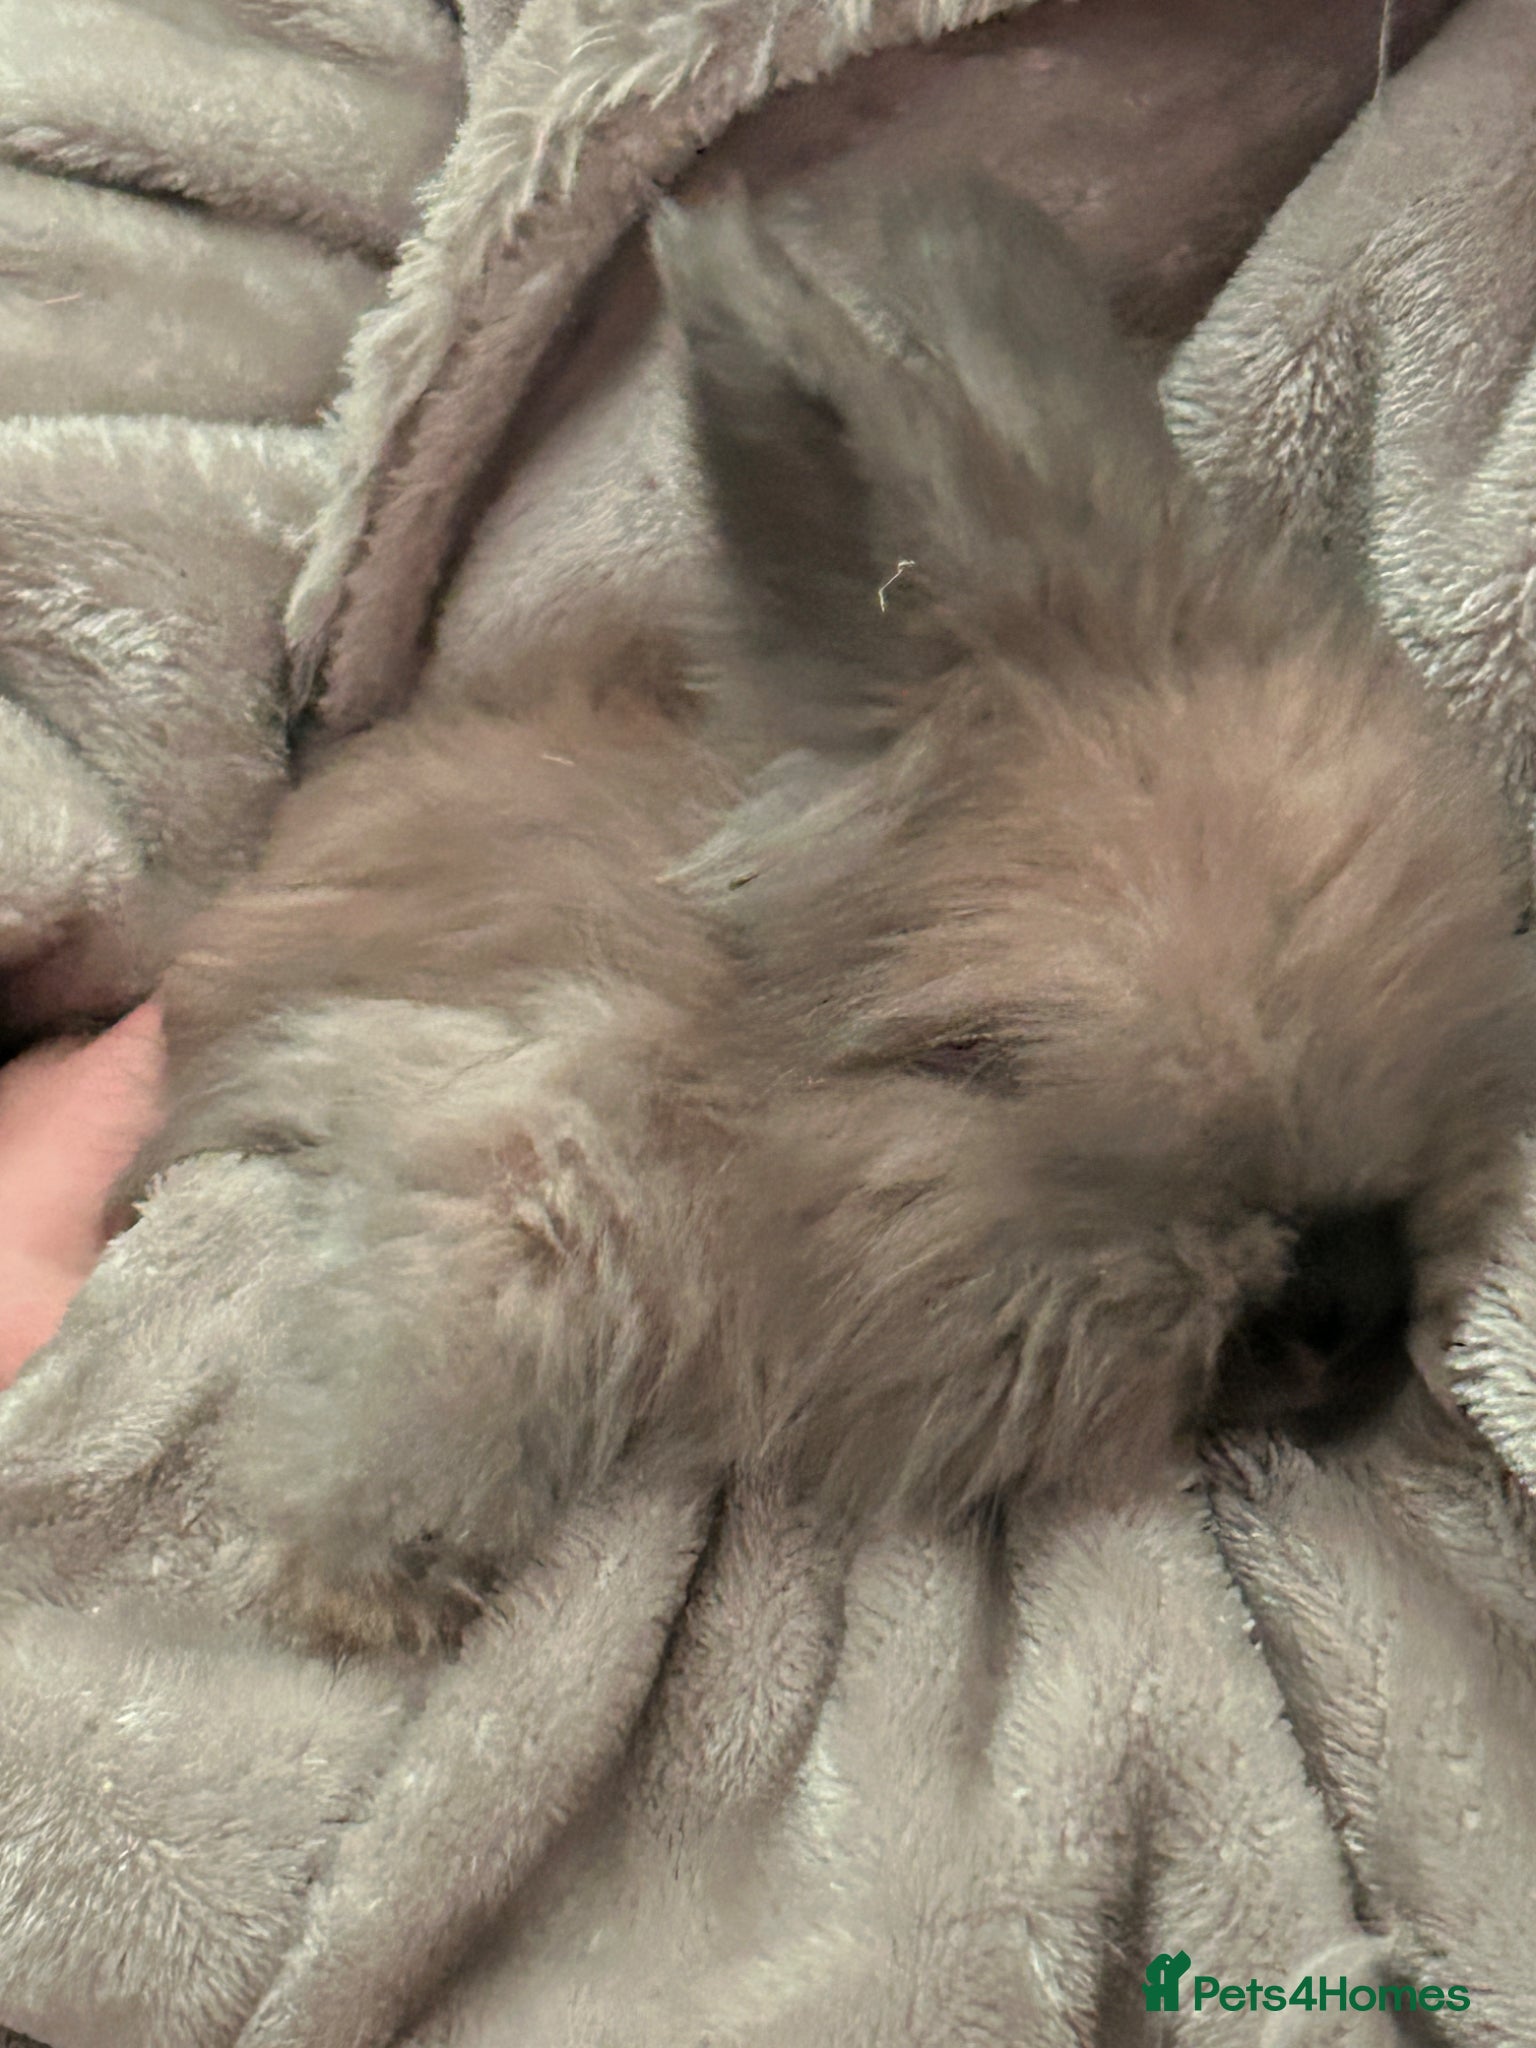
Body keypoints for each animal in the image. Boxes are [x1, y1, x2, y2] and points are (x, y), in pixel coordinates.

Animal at [116, 175, 1536, 1660]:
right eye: (984, 1055)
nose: (1349, 1293)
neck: (742, 1093)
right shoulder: (505, 1104)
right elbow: (495, 1287)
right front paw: (359, 1575)